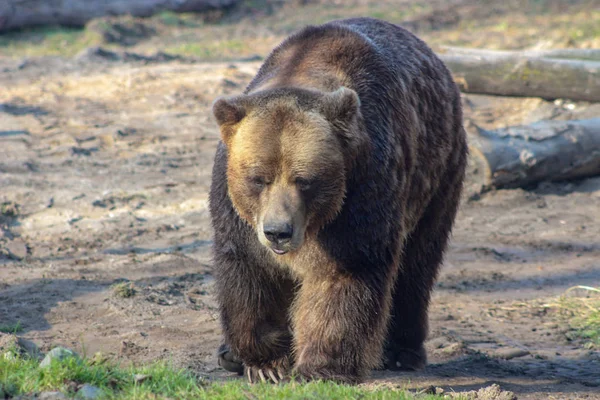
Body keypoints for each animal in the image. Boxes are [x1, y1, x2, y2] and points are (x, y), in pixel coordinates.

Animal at [211, 17, 468, 382]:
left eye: (304, 180)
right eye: (258, 178)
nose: (278, 232)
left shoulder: (363, 189)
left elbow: (346, 271)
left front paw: (320, 367)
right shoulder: (237, 215)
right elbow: (250, 273)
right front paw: (266, 363)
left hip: (438, 175)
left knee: (417, 263)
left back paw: (402, 351)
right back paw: (228, 354)